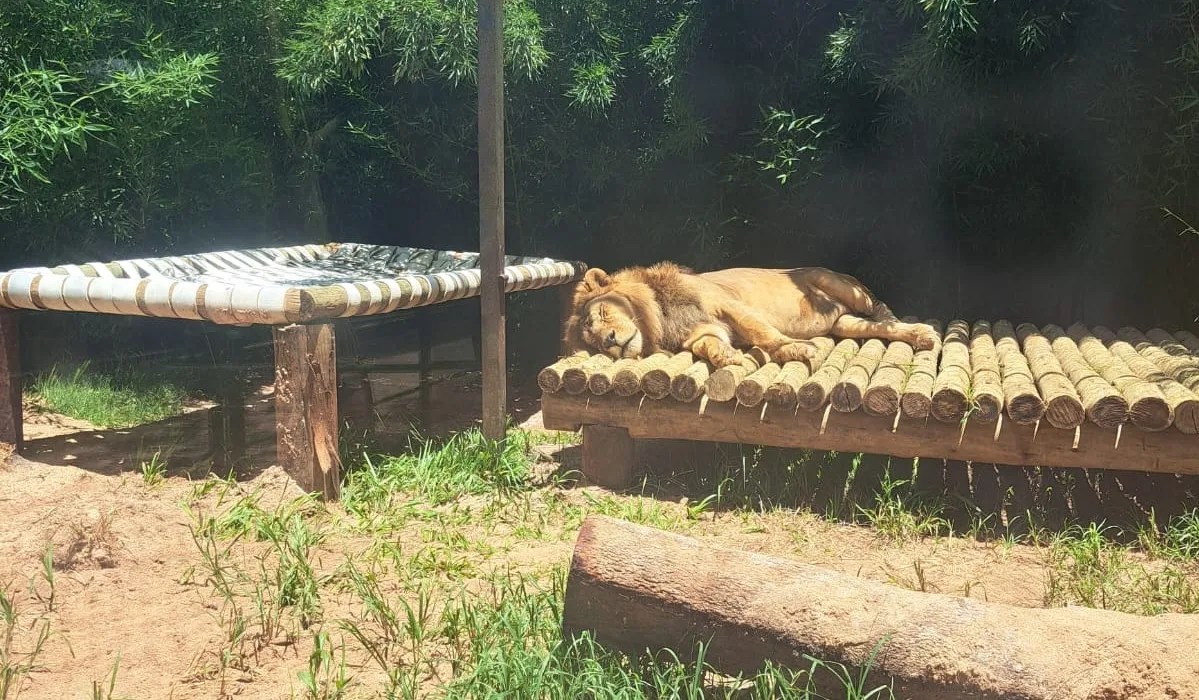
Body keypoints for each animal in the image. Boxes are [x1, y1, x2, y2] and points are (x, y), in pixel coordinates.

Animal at [561, 263, 935, 371]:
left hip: (838, 284)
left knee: (880, 310)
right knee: (877, 328)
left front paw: (795, 349)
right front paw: (727, 358)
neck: (659, 317)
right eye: (593, 342)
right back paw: (918, 335)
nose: (610, 341)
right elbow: (709, 347)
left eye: (603, 312)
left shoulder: (728, 305)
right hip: (844, 323)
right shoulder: (702, 333)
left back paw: (915, 328)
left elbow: (761, 333)